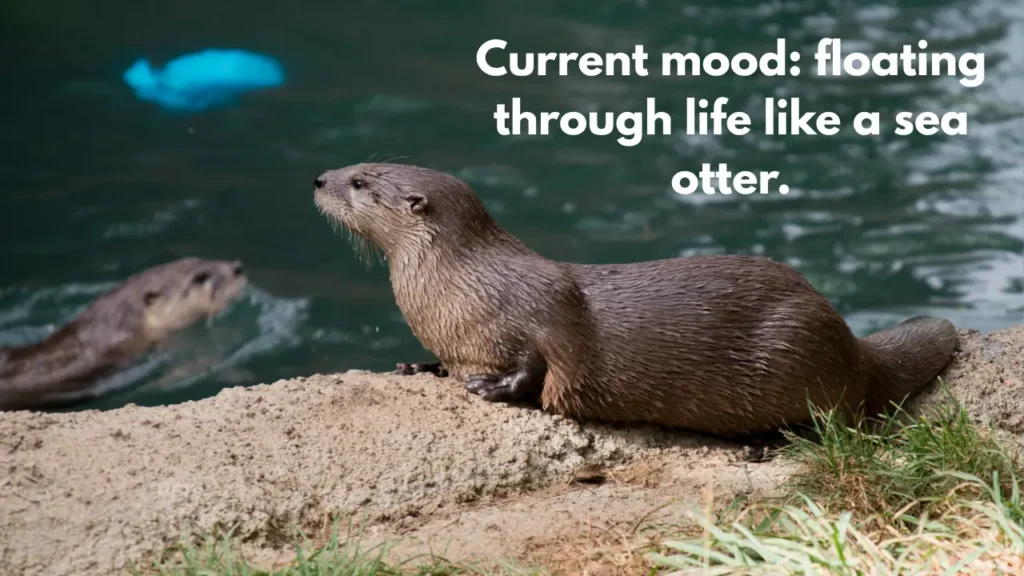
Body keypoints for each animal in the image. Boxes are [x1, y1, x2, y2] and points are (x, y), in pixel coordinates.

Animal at [313, 163, 958, 437]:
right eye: (356, 165)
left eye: (360, 182)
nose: (319, 179)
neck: (455, 286)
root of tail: (853, 345)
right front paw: (419, 365)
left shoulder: (539, 314)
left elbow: (542, 362)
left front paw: (491, 388)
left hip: (797, 346)